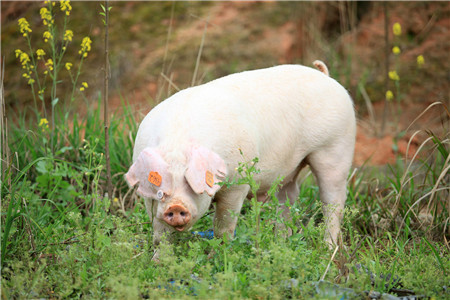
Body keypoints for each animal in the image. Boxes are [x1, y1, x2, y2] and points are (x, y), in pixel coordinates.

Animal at [125, 62, 356, 252]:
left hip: (336, 147)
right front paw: (159, 262)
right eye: (160, 189)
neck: (178, 144)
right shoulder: (149, 201)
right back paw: (280, 245)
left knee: (333, 201)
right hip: (289, 170)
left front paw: (221, 254)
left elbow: (223, 227)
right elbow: (160, 235)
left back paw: (327, 249)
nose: (175, 207)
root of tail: (326, 76)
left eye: (192, 185)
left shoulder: (237, 183)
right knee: (287, 200)